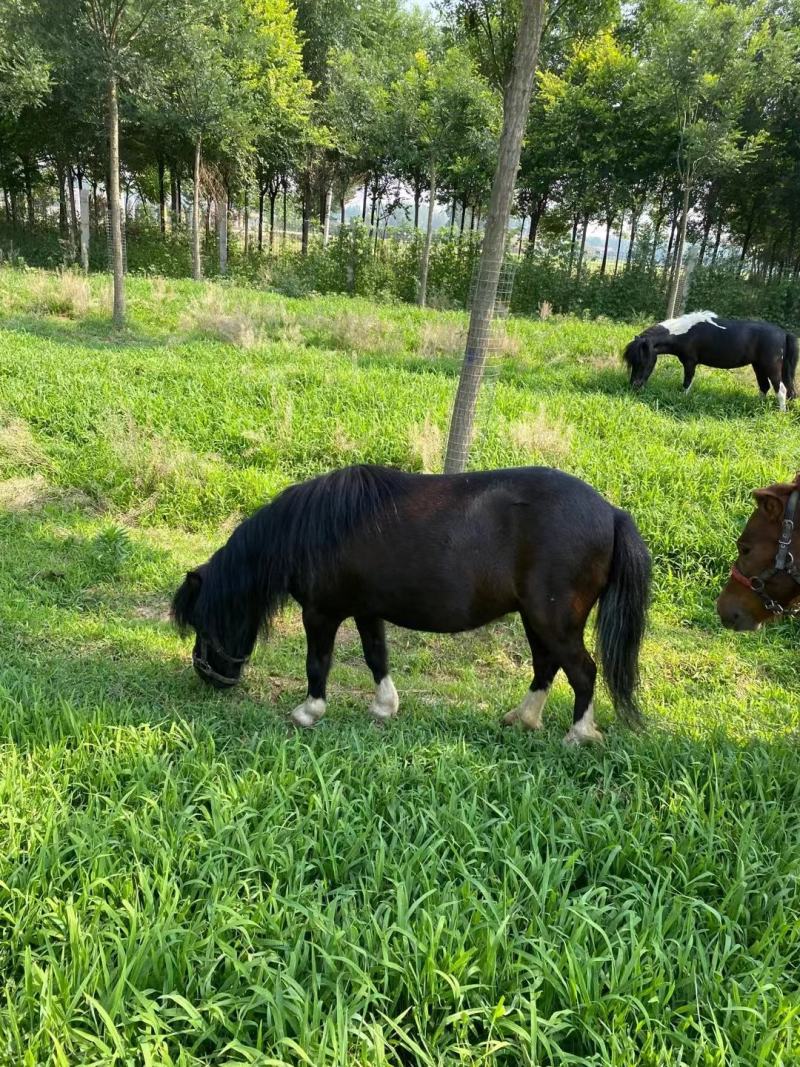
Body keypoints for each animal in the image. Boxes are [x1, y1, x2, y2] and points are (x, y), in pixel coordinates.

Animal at [171, 464, 651, 745]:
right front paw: (384, 707)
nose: (208, 676)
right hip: (536, 619)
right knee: (546, 666)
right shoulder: (366, 611)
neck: (311, 530)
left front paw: (309, 711)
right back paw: (523, 718)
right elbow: (376, 657)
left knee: (582, 672)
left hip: (554, 619)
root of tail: (611, 513)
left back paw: (578, 735)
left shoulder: (322, 614)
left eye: (202, 622)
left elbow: (318, 663)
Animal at [623, 311, 798, 410]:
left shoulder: (690, 362)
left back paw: (780, 413)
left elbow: (687, 383)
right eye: (632, 362)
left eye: (643, 361)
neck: (685, 332)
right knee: (764, 387)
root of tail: (784, 333)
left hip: (771, 367)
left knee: (781, 390)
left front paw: (682, 399)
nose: (634, 387)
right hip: (758, 366)